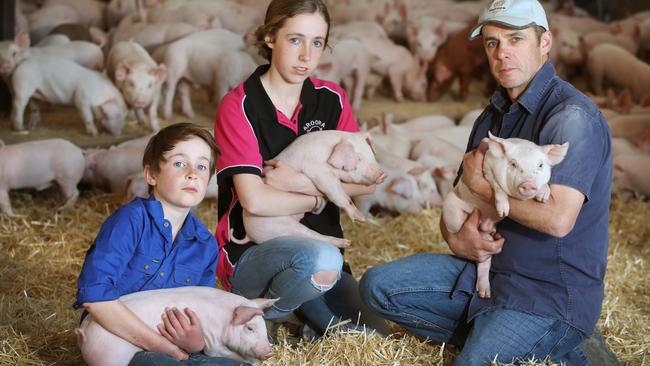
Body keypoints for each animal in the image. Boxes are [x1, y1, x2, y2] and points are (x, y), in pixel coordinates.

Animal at [76, 286, 276, 366]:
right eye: (250, 328)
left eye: (264, 328)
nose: (269, 352)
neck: (222, 318)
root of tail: (83, 330)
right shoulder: (212, 343)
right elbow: (226, 355)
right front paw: (251, 361)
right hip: (110, 358)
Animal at [440, 133, 568, 298]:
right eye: (513, 164)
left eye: (540, 165)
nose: (528, 184)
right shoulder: (486, 167)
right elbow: (497, 186)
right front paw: (504, 211)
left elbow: (546, 185)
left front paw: (543, 197)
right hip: (452, 213)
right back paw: (487, 238)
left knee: (484, 263)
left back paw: (485, 293)